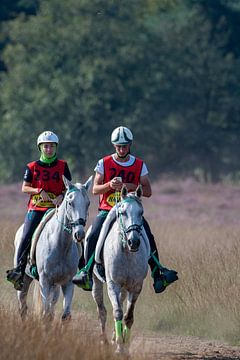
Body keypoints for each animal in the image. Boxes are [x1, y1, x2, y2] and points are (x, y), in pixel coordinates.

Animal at [13, 175, 92, 320]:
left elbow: (65, 315)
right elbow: (46, 314)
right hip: (25, 280)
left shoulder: (67, 283)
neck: (60, 245)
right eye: (70, 203)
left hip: (55, 286)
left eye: (88, 203)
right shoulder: (45, 281)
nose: (79, 234)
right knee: (23, 306)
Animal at [92, 186, 150, 354]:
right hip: (97, 283)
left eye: (141, 213)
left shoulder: (136, 287)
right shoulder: (113, 285)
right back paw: (104, 340)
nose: (134, 241)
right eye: (123, 213)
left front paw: (126, 346)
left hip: (125, 288)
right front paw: (119, 346)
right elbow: (117, 312)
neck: (127, 253)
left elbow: (128, 316)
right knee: (102, 310)